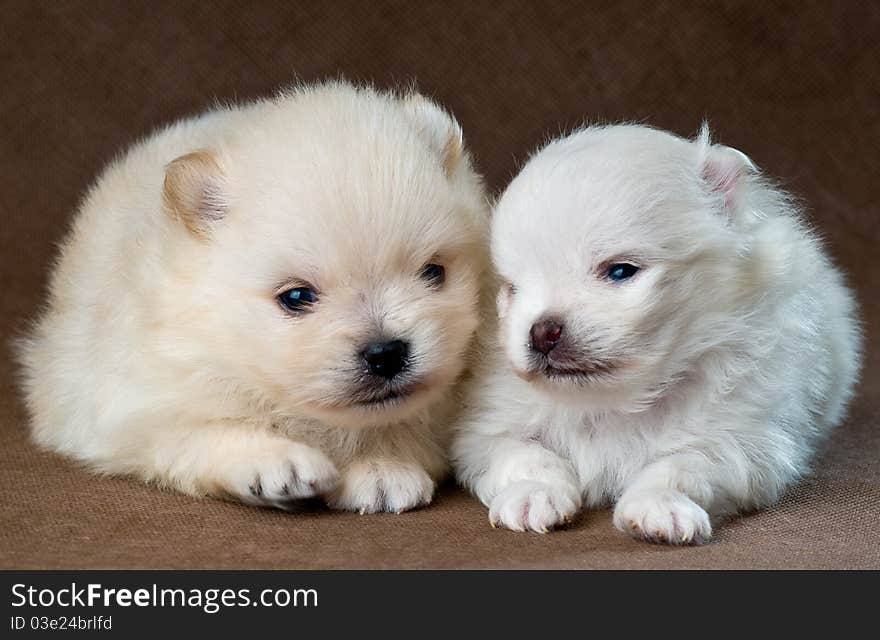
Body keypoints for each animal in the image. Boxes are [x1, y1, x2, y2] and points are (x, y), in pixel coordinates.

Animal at [18, 82, 488, 512]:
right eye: (296, 296)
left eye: (433, 272)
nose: (386, 352)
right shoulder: (133, 407)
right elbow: (207, 429)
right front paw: (275, 462)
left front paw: (381, 465)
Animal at [458, 124, 864, 540]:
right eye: (511, 288)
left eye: (620, 271)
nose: (542, 332)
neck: (613, 402)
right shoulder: (486, 428)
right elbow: (524, 454)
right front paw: (533, 494)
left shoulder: (744, 440)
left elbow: (683, 464)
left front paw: (658, 505)